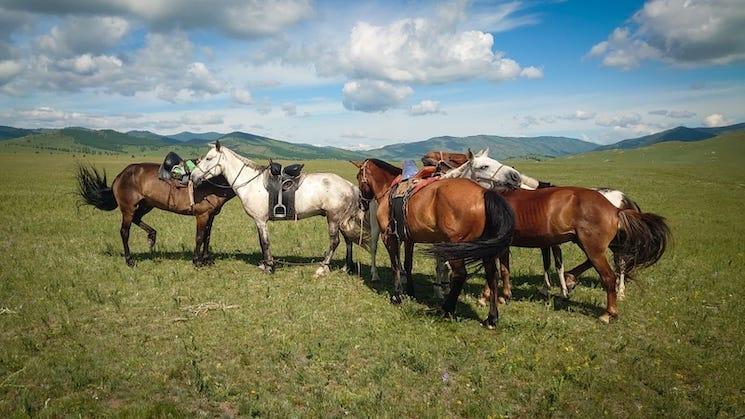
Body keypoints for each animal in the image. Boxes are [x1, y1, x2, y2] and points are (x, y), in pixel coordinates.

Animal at [75, 163, 235, 266]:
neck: (213, 184)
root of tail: (120, 176)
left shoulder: (211, 215)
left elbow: (207, 237)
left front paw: (207, 259)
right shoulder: (201, 215)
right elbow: (200, 237)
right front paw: (197, 261)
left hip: (146, 204)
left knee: (137, 219)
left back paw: (152, 236)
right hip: (128, 209)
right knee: (124, 232)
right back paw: (129, 260)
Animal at [189, 141, 368, 276]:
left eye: (209, 158)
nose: (193, 176)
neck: (252, 183)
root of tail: (350, 186)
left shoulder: (261, 220)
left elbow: (265, 242)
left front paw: (269, 267)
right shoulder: (259, 221)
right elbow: (262, 242)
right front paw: (265, 264)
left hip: (333, 218)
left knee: (335, 241)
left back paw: (322, 268)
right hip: (341, 220)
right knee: (348, 241)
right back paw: (346, 267)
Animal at [352, 158, 521, 327]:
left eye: (358, 176)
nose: (361, 203)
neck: (388, 190)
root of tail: (484, 193)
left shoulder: (389, 237)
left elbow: (395, 266)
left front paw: (397, 296)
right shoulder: (409, 239)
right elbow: (407, 264)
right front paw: (410, 292)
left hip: (456, 246)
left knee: (460, 274)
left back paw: (446, 310)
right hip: (484, 249)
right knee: (492, 276)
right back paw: (491, 318)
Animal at [443, 155, 670, 322]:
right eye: (483, 165)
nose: (515, 177)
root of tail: (615, 207)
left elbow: (498, 271)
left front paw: (488, 297)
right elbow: (505, 269)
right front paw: (503, 296)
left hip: (594, 248)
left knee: (610, 275)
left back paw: (608, 312)